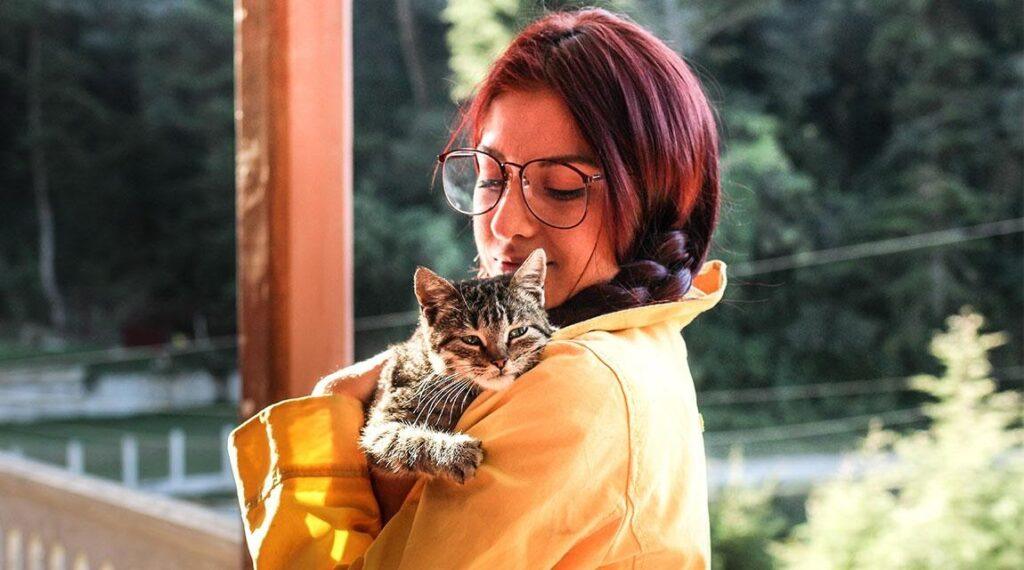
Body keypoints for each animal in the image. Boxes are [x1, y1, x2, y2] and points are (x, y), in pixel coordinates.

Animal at [358, 246, 552, 483]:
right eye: (471, 340)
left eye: (518, 332)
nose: (500, 361)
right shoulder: (379, 427)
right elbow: (408, 439)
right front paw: (454, 453)